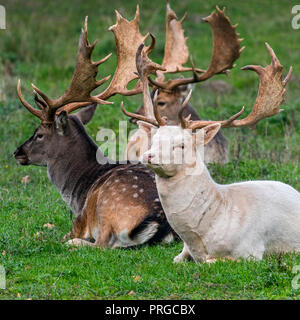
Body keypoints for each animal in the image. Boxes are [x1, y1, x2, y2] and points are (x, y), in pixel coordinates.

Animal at [14, 10, 177, 248]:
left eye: (40, 134)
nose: (17, 152)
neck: (79, 193)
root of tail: (160, 220)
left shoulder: (79, 221)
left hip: (107, 205)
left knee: (102, 244)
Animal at [123, 42, 298, 262]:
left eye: (181, 144)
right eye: (154, 140)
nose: (148, 156)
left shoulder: (251, 251)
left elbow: (211, 261)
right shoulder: (183, 252)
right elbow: (178, 260)